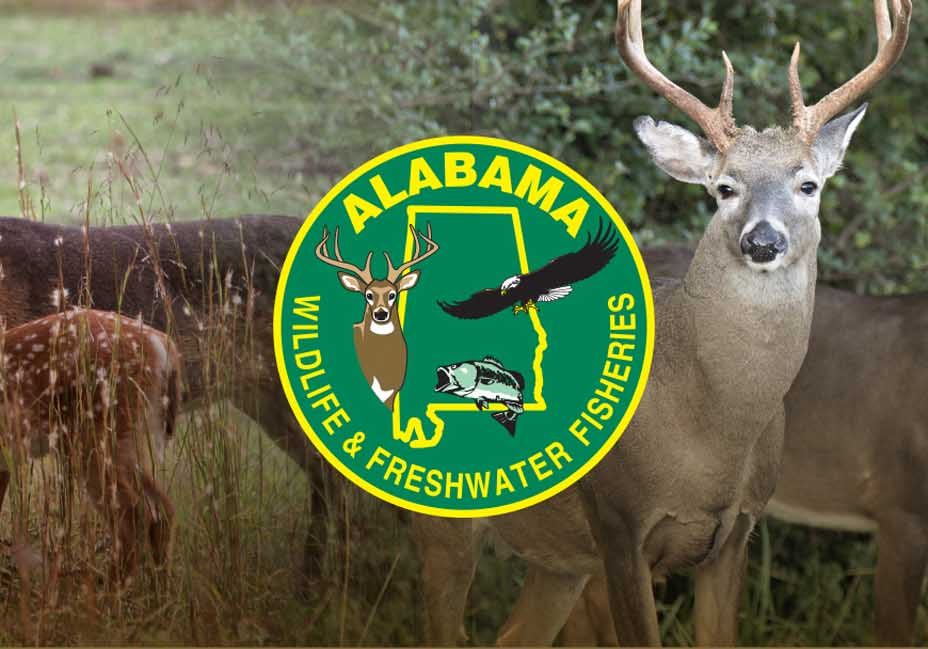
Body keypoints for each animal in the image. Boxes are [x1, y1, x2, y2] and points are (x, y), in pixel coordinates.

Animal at [0, 308, 181, 580]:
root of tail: (161, 343)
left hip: (97, 436)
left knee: (134, 515)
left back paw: (113, 587)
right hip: (129, 441)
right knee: (161, 510)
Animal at [411, 0, 911, 645]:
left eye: (808, 183)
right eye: (724, 187)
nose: (763, 241)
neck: (712, 430)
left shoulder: (736, 530)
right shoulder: (618, 523)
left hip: (559, 559)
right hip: (443, 522)